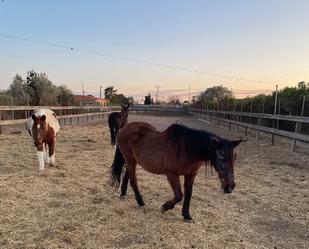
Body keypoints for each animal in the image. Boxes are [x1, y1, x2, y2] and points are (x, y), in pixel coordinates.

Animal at [109, 121, 242, 221]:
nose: (230, 187)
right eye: (221, 156)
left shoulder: (191, 175)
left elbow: (188, 194)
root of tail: (123, 129)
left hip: (133, 160)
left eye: (234, 157)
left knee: (128, 175)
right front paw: (165, 207)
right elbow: (179, 195)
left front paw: (187, 215)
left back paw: (123, 193)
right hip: (130, 159)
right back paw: (140, 202)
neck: (187, 149)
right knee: (133, 179)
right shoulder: (172, 174)